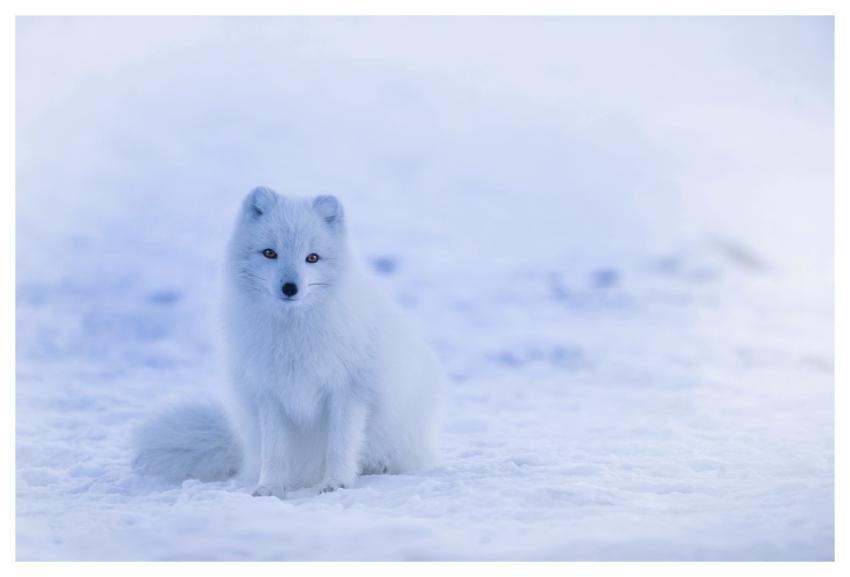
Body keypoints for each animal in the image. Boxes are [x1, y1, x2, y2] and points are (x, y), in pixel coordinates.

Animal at [133, 187, 444, 497]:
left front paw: (336, 483)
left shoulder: (348, 392)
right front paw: (269, 487)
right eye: (270, 253)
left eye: (312, 258)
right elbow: (275, 452)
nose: (290, 288)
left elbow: (340, 446)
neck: (293, 335)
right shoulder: (269, 394)